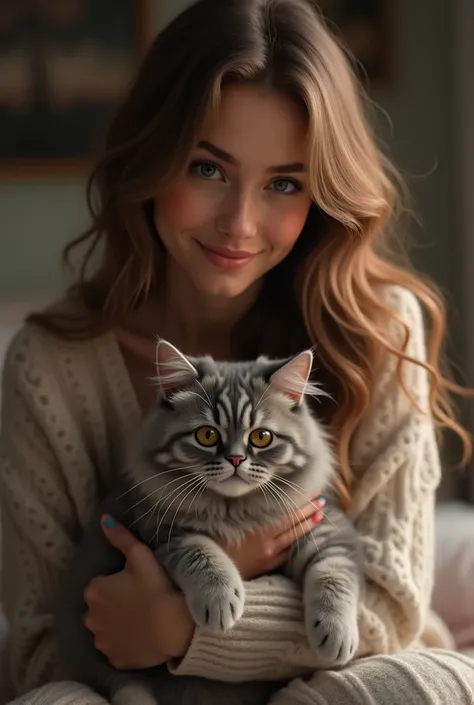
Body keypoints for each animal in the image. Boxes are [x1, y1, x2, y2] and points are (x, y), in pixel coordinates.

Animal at [54, 340, 362, 704]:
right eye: (206, 435)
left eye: (261, 437)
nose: (236, 459)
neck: (234, 510)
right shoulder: (164, 531)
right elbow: (203, 554)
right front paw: (221, 602)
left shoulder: (326, 531)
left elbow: (333, 576)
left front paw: (336, 635)